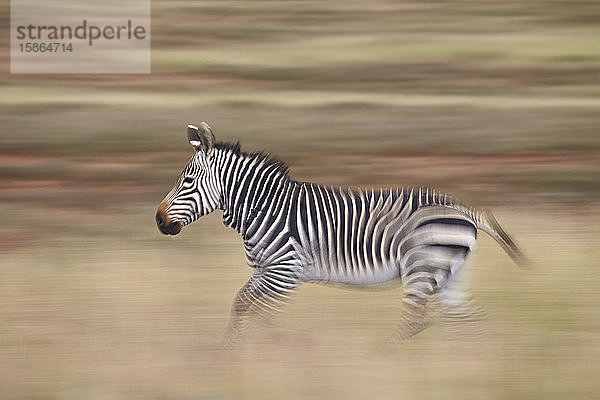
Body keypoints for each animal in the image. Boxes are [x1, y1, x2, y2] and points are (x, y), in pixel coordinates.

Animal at [156, 122, 524, 346]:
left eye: (187, 181)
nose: (159, 221)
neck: (264, 209)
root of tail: (464, 210)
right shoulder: (264, 272)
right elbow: (241, 305)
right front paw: (233, 351)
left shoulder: (285, 273)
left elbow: (258, 312)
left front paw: (275, 347)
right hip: (448, 276)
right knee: (471, 320)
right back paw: (472, 363)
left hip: (421, 268)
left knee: (416, 321)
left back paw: (383, 356)